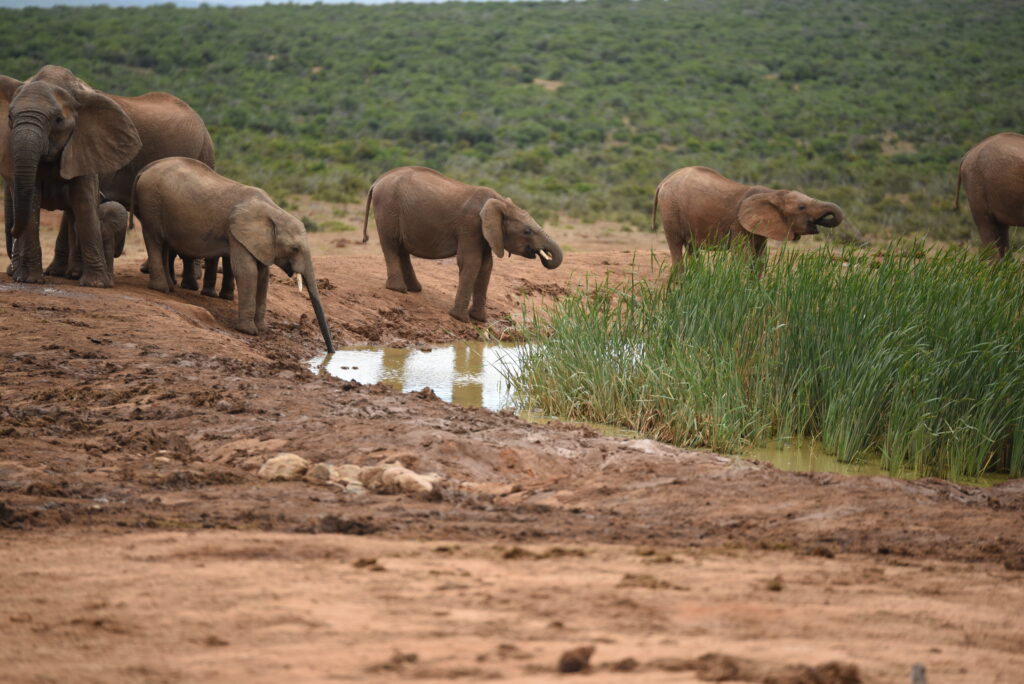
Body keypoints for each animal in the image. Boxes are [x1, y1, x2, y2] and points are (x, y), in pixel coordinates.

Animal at [131, 157, 334, 353]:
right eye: (295, 249)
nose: (331, 351)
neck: (274, 212)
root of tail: (145, 169)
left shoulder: (260, 242)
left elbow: (263, 275)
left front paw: (261, 329)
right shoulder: (236, 233)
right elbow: (247, 272)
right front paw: (248, 331)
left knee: (164, 244)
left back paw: (169, 288)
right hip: (151, 203)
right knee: (155, 240)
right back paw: (161, 289)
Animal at [361, 166, 564, 323]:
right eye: (527, 231)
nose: (544, 255)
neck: (500, 203)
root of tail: (376, 181)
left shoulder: (484, 232)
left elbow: (486, 266)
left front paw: (480, 319)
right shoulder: (470, 225)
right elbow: (471, 262)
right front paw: (460, 318)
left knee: (401, 247)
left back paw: (414, 289)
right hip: (387, 207)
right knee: (391, 244)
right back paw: (398, 289)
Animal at [651, 166, 844, 263]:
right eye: (802, 207)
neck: (772, 193)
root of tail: (663, 181)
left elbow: (759, 260)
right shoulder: (738, 225)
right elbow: (743, 256)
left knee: (692, 249)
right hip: (670, 209)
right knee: (676, 245)